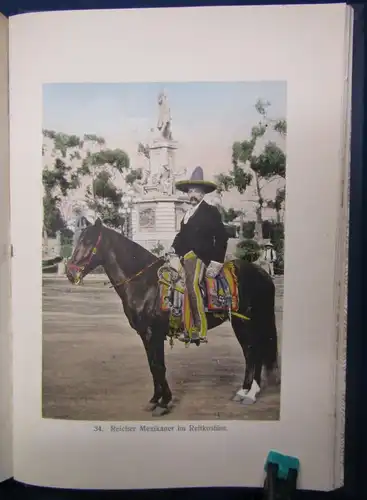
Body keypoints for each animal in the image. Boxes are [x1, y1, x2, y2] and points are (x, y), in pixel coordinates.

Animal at [66, 219, 280, 418]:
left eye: (87, 241)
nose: (70, 272)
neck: (145, 284)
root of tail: (262, 273)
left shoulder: (153, 333)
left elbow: (159, 366)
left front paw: (164, 403)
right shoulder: (145, 335)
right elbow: (153, 366)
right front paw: (155, 400)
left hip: (247, 321)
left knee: (255, 352)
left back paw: (251, 393)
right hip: (241, 323)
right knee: (250, 353)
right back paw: (244, 391)